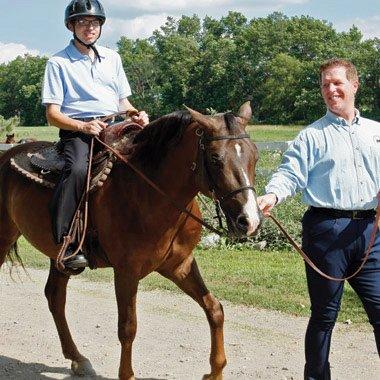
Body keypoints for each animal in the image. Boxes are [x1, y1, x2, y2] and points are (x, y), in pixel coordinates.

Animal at [0, 101, 262, 380]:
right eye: (215, 159)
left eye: (254, 156)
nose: (249, 220)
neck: (150, 192)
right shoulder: (126, 271)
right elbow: (128, 327)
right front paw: (127, 374)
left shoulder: (180, 265)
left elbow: (214, 309)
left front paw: (215, 371)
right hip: (4, 237)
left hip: (59, 256)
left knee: (55, 298)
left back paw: (78, 358)